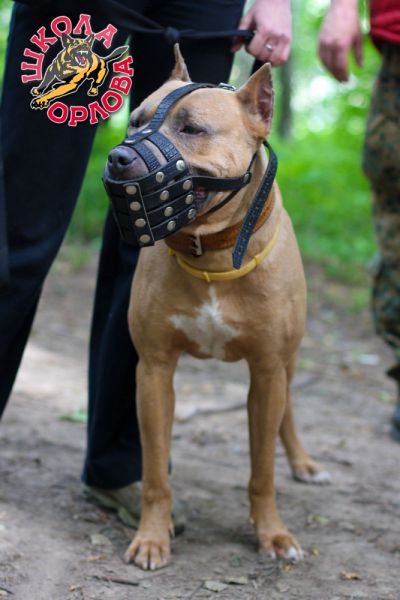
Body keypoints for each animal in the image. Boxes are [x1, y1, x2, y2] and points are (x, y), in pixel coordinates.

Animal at [104, 45, 330, 571]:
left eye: (192, 128)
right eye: (135, 121)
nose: (119, 156)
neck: (210, 253)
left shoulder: (267, 373)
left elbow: (262, 470)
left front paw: (272, 534)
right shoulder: (154, 371)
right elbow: (155, 473)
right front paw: (152, 536)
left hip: (287, 361)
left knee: (289, 411)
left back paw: (302, 462)